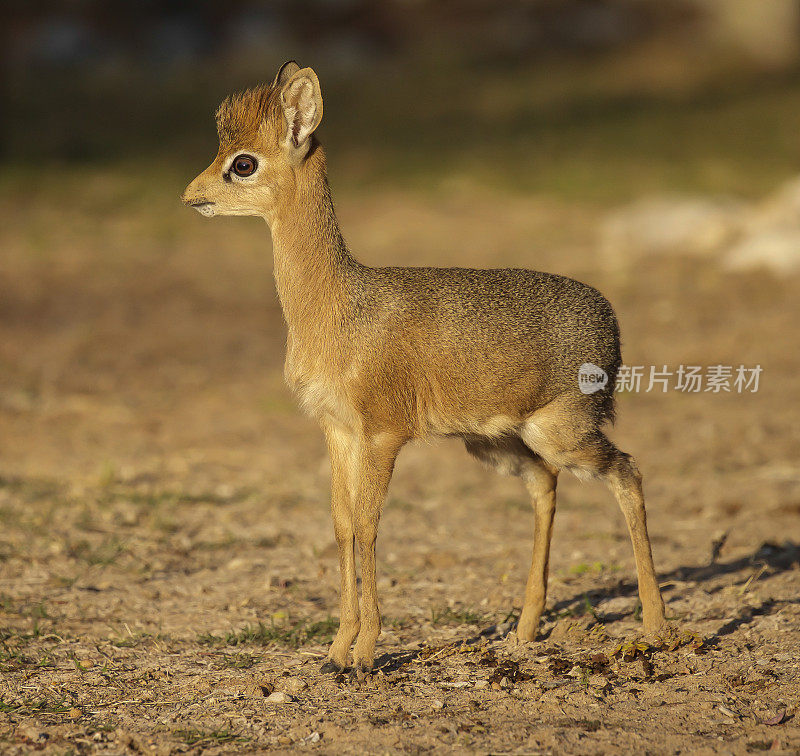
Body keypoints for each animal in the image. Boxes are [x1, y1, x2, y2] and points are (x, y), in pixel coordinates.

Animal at [184, 62, 664, 676]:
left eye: (242, 162)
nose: (190, 196)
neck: (338, 307)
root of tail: (610, 320)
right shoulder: (337, 431)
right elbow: (342, 524)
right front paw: (336, 652)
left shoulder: (384, 433)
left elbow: (368, 524)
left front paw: (365, 652)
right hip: (499, 443)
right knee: (546, 484)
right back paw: (524, 632)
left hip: (561, 432)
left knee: (627, 472)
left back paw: (656, 626)